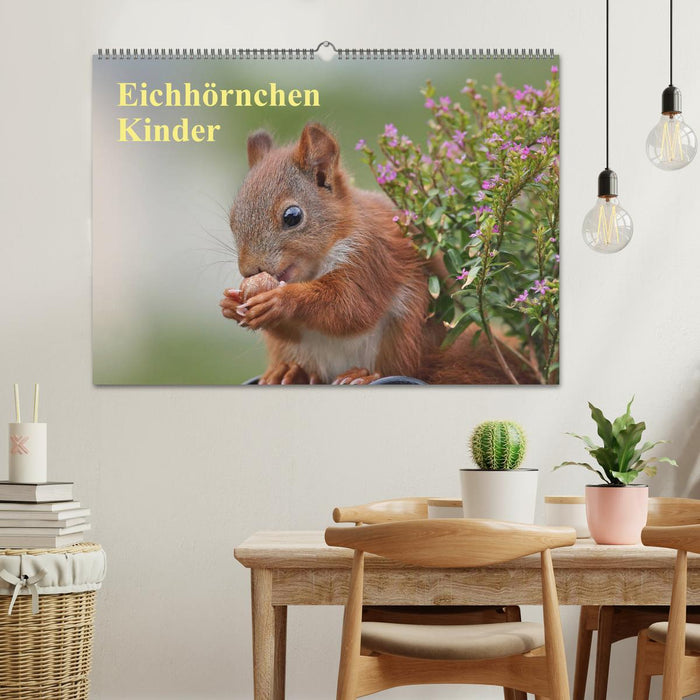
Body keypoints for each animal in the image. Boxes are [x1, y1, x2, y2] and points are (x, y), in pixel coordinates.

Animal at [220, 122, 536, 385]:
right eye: (233, 219)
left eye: (292, 216)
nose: (249, 270)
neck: (316, 265)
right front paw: (229, 305)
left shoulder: (371, 256)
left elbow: (350, 307)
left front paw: (282, 299)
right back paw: (291, 371)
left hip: (403, 334)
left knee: (400, 368)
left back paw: (364, 375)